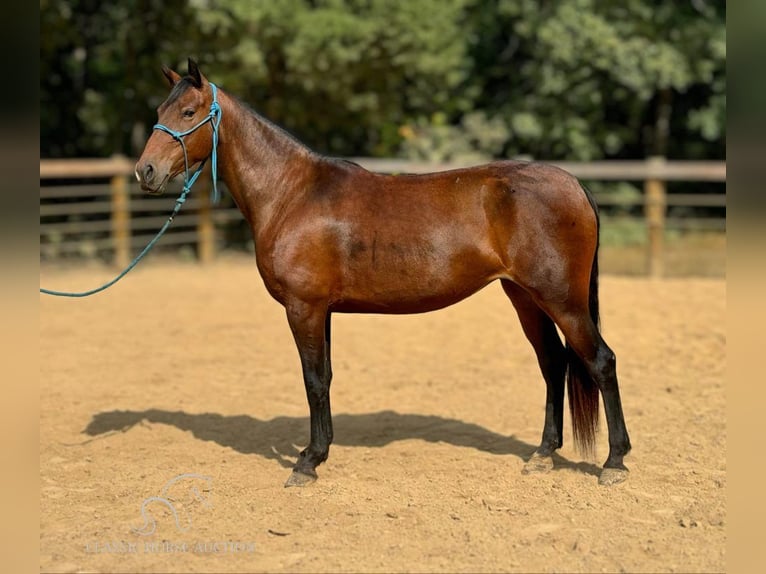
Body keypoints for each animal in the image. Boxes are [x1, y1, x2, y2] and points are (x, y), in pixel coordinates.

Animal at [135, 58, 632, 488]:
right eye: (159, 111)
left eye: (188, 112)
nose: (146, 171)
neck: (292, 192)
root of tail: (574, 184)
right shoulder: (322, 310)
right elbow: (325, 377)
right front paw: (319, 452)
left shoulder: (304, 307)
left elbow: (312, 380)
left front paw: (307, 463)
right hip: (524, 297)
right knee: (553, 363)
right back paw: (543, 455)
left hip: (561, 299)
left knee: (600, 361)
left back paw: (614, 462)